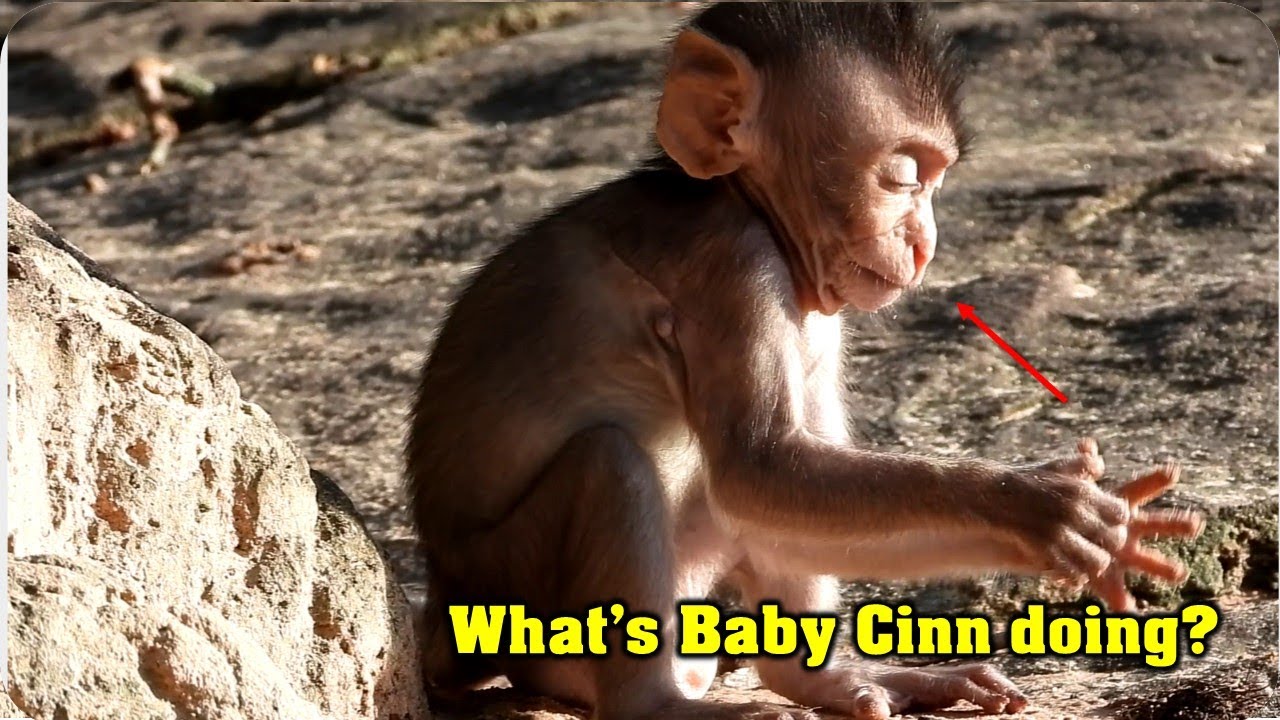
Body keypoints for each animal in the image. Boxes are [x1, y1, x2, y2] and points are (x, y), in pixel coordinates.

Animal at [406, 4, 1203, 719]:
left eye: (937, 183)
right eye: (904, 177)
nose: (925, 243)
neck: (746, 205)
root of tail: (444, 608)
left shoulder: (817, 313)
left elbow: (793, 478)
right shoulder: (737, 269)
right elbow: (762, 465)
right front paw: (1040, 506)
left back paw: (818, 679)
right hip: (511, 589)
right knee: (612, 463)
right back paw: (658, 703)